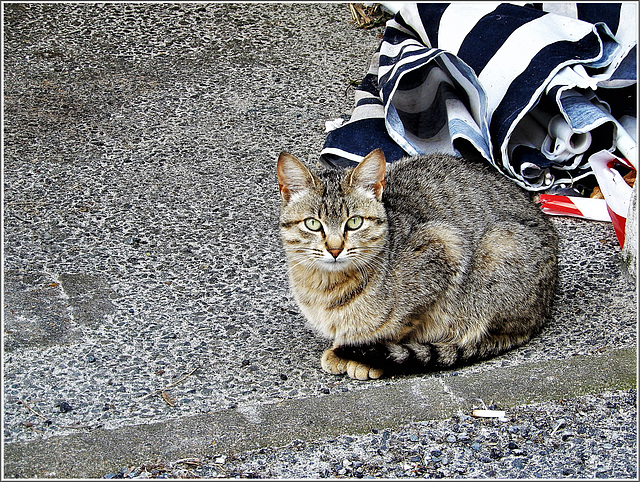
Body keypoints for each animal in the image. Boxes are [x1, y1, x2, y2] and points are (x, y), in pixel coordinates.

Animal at [278, 150, 556, 380]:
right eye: (313, 224)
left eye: (355, 222)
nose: (335, 249)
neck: (325, 287)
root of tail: (542, 310)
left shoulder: (444, 244)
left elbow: (399, 325)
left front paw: (358, 355)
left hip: (499, 246)